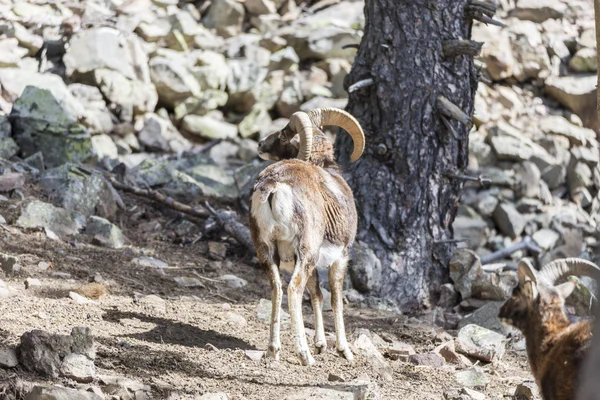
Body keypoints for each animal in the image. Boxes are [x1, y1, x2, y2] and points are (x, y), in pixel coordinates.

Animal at [248, 107, 366, 366]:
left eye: (283, 134)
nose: (260, 144)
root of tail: (274, 185)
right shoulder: (340, 258)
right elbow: (335, 300)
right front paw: (344, 351)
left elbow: (317, 296)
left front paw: (321, 345)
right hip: (305, 253)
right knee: (293, 290)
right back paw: (305, 356)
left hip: (267, 251)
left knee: (277, 288)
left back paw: (273, 351)